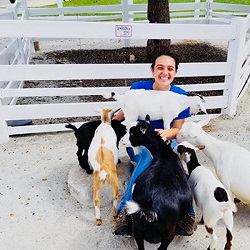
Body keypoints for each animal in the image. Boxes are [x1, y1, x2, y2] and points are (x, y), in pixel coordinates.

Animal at [125, 115, 193, 250]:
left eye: (132, 133)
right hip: (169, 230)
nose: (126, 140)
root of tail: (150, 207)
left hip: (137, 226)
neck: (164, 154)